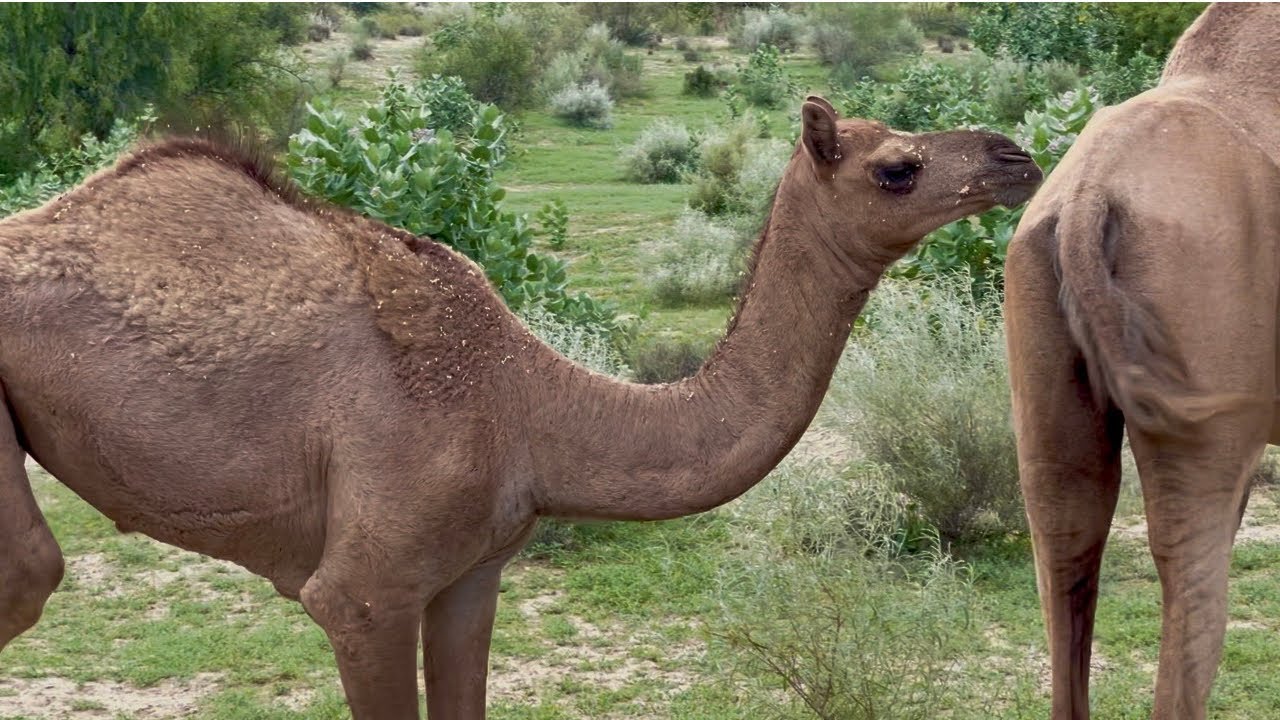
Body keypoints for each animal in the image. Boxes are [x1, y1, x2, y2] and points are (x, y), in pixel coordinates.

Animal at [0, 96, 1040, 718]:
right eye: (897, 166)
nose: (1016, 155)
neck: (528, 409)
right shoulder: (364, 595)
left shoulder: (472, 576)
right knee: (31, 573)